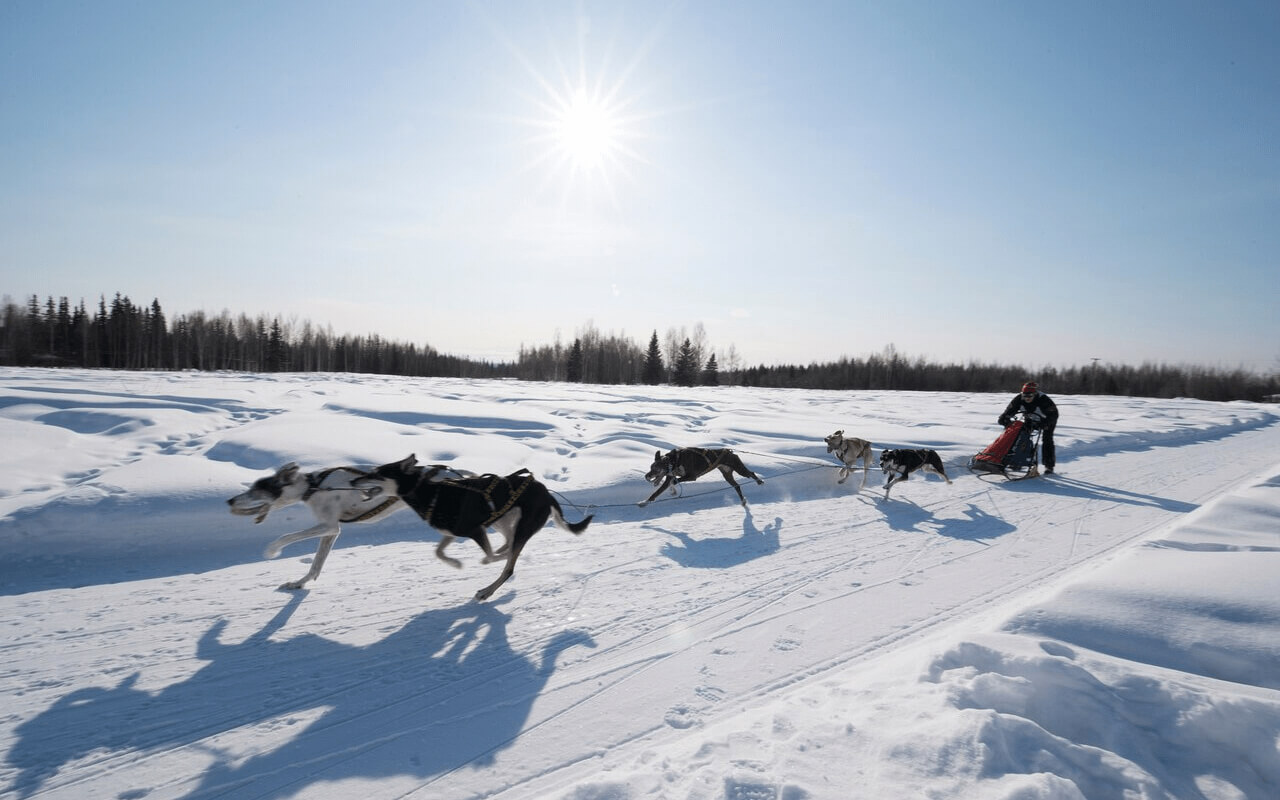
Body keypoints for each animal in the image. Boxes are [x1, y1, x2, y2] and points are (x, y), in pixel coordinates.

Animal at [227, 460, 473, 586]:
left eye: (258, 488)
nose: (229, 500)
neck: (313, 487)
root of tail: (460, 475)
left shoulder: (329, 526)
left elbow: (287, 536)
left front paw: (272, 551)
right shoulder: (331, 532)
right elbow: (316, 565)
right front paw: (301, 582)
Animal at [348, 455, 591, 599]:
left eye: (377, 473)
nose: (352, 481)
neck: (432, 495)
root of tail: (547, 494)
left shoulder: (475, 530)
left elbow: (489, 557)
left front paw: (491, 559)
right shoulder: (451, 533)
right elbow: (438, 552)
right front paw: (455, 563)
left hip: (519, 525)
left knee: (509, 565)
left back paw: (487, 590)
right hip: (502, 519)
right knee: (509, 541)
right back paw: (504, 552)